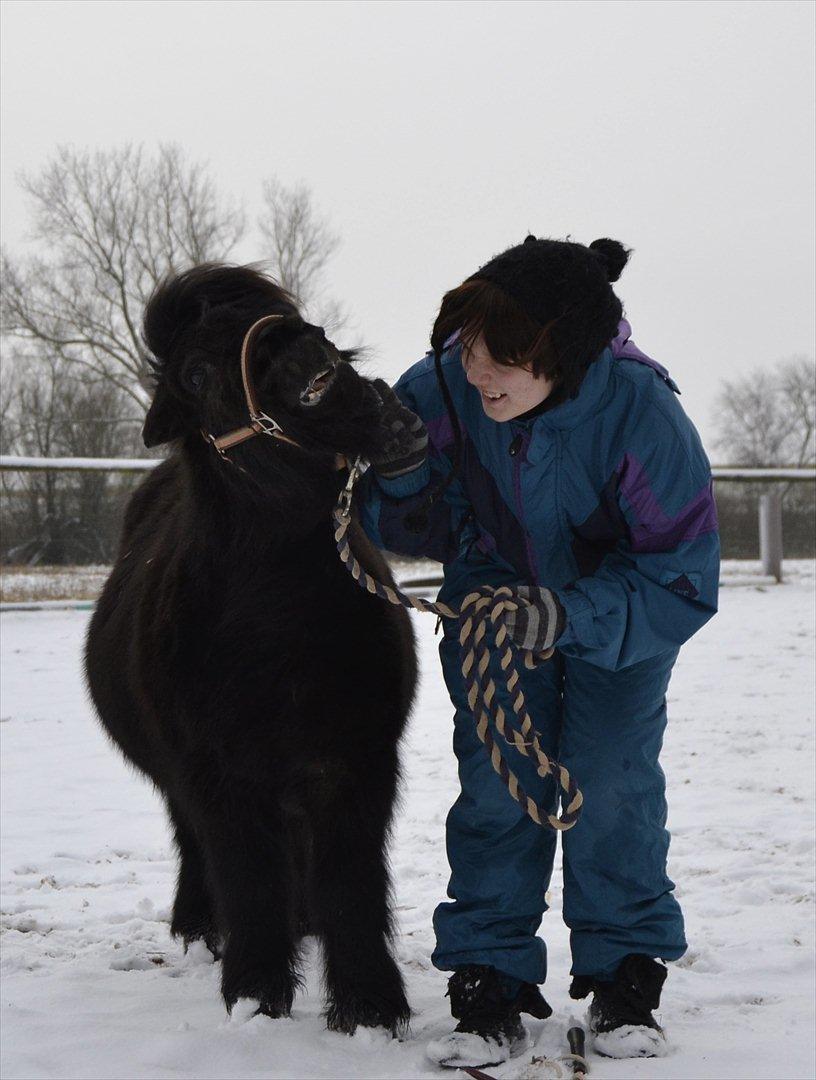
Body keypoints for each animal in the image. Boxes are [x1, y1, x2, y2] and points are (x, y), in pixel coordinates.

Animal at [86, 265, 416, 1032]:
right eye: (197, 373)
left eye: (282, 312)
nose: (303, 357)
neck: (279, 621)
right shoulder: (218, 776)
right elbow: (248, 877)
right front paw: (255, 994)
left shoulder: (357, 761)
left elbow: (353, 878)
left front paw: (368, 1005)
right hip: (183, 779)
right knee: (196, 846)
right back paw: (199, 926)